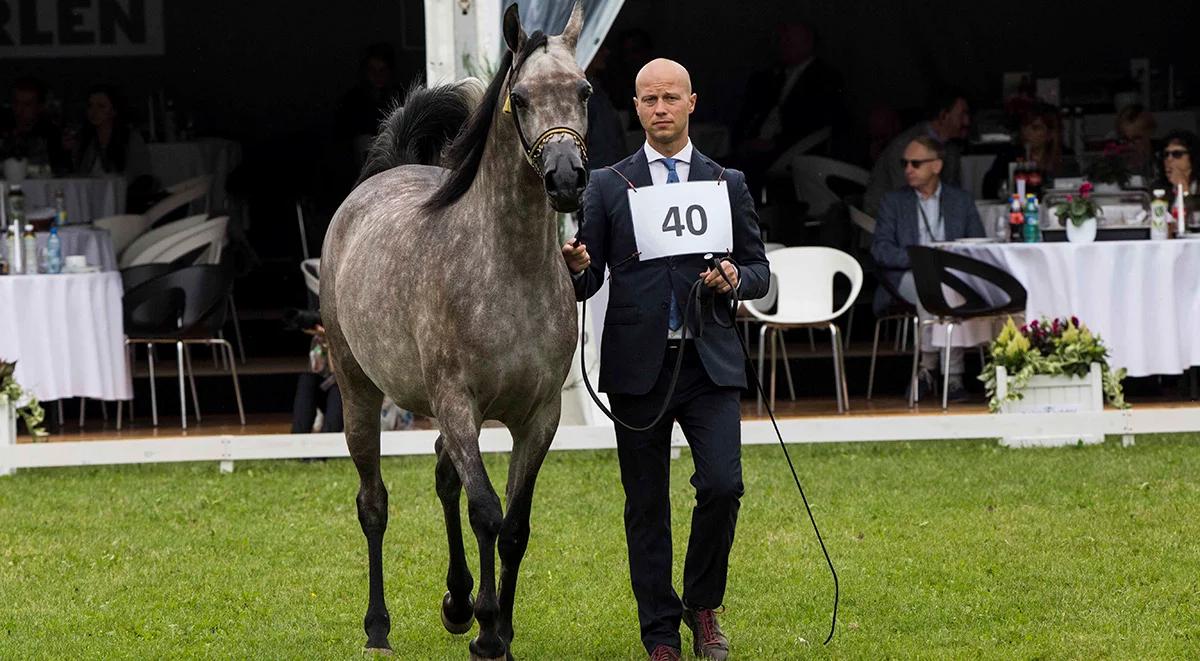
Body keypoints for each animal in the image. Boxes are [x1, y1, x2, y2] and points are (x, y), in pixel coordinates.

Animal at [319, 2, 590, 657]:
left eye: (584, 91)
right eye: (519, 97)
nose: (567, 179)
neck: (508, 270)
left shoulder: (538, 416)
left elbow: (515, 525)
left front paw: (497, 626)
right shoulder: (460, 405)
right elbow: (486, 512)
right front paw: (489, 632)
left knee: (444, 475)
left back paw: (457, 601)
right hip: (358, 393)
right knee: (374, 503)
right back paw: (379, 628)